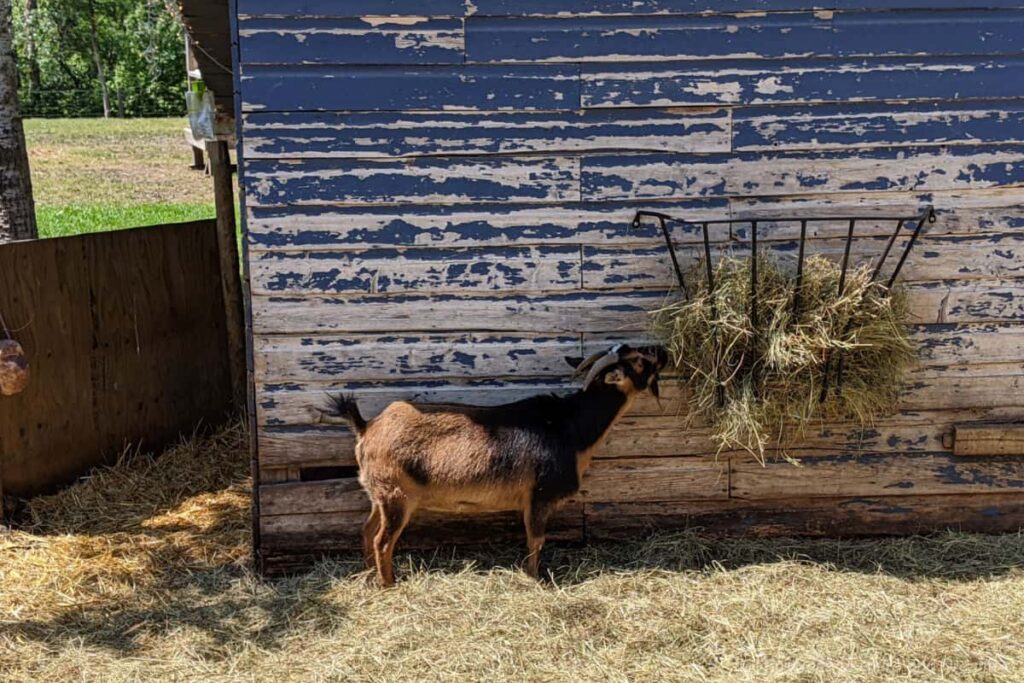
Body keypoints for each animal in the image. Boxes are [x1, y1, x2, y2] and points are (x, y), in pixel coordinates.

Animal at [323, 344, 667, 585]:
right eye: (639, 360)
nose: (663, 350)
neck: (570, 427)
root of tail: (366, 427)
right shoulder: (538, 496)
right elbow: (535, 540)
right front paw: (535, 578)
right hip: (396, 497)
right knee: (382, 541)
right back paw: (389, 584)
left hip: (379, 495)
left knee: (367, 532)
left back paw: (370, 576)